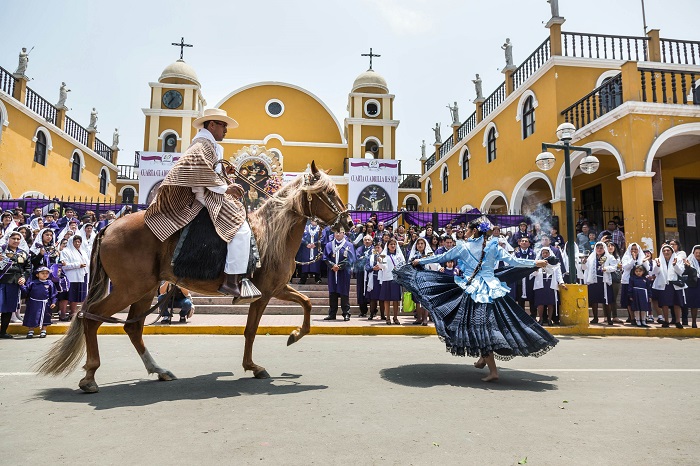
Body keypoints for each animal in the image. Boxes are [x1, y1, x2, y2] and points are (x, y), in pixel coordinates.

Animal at [37, 162, 352, 392]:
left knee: (131, 328)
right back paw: (90, 376)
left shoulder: (279, 287)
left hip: (145, 289)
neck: (273, 233)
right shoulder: (265, 292)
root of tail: (109, 227)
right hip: (129, 288)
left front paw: (292, 336)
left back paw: (158, 370)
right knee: (90, 317)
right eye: (328, 193)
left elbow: (306, 303)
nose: (348, 222)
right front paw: (260, 361)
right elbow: (252, 330)